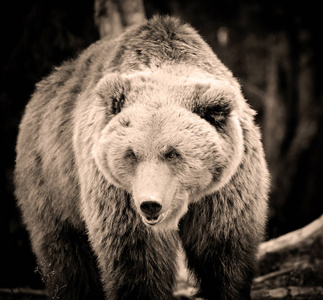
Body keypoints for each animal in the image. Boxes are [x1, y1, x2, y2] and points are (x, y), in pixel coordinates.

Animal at [14, 15, 268, 300]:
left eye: (172, 152)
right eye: (131, 153)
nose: (150, 204)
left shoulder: (227, 186)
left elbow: (224, 247)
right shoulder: (116, 192)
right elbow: (137, 257)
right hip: (51, 182)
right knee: (65, 255)